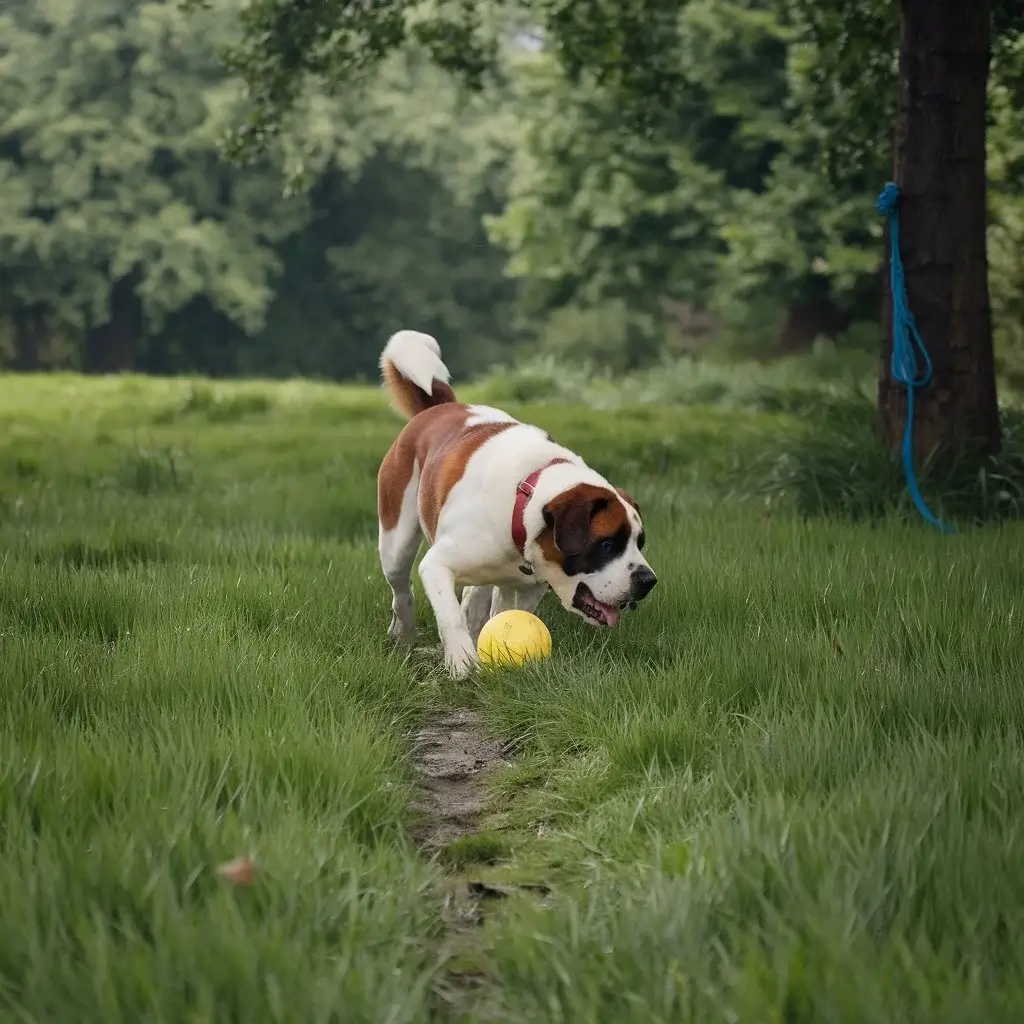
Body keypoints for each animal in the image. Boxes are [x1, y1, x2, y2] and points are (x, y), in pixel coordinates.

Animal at [376, 329, 655, 679]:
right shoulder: (437, 565)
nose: (648, 581)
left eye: (639, 544)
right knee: (402, 589)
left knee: (476, 596)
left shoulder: (528, 585)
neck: (524, 502)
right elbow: (450, 615)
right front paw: (462, 662)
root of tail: (442, 407)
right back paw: (404, 633)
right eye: (607, 544)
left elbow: (507, 615)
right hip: (395, 541)